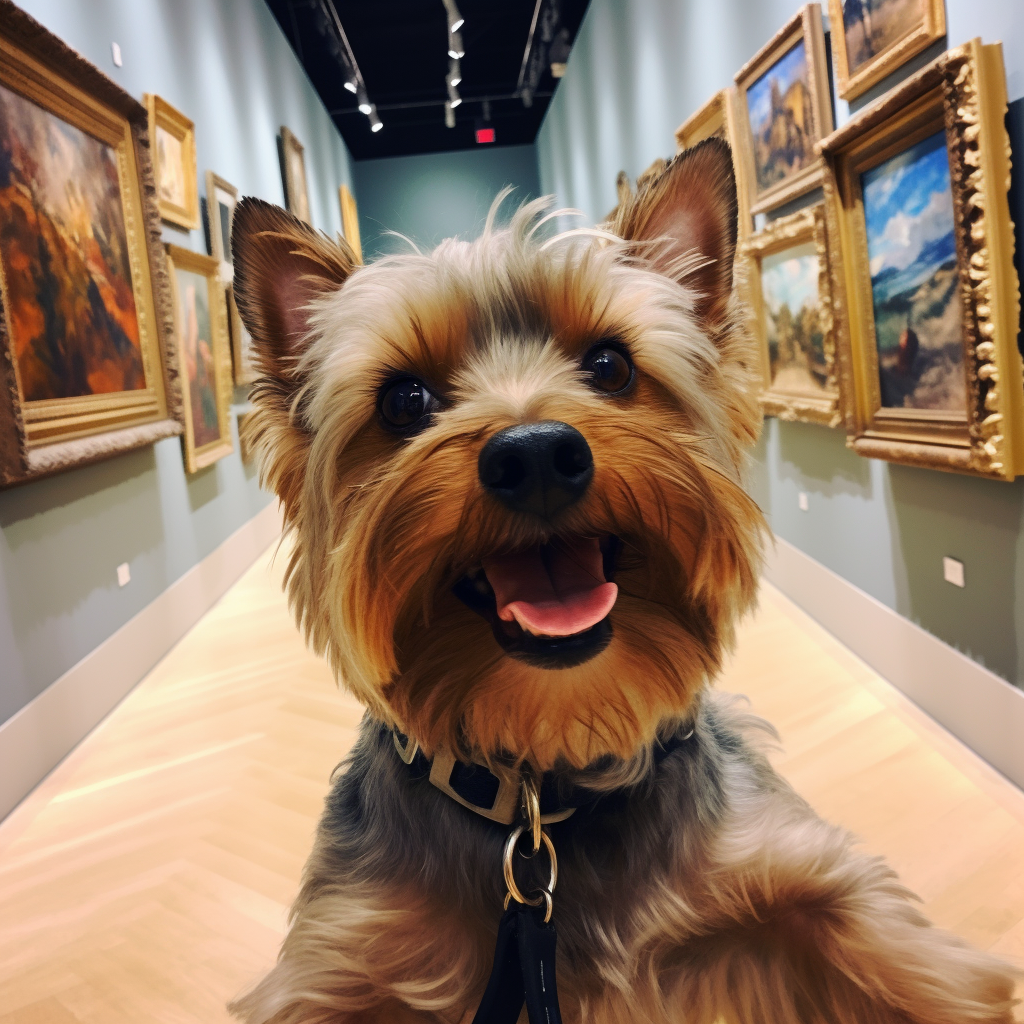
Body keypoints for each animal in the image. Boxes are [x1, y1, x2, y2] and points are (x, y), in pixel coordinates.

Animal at [224, 138, 1015, 1024]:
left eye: (609, 364)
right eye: (403, 400)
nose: (535, 454)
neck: (548, 788)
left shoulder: (813, 882)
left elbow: (919, 969)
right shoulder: (337, 959)